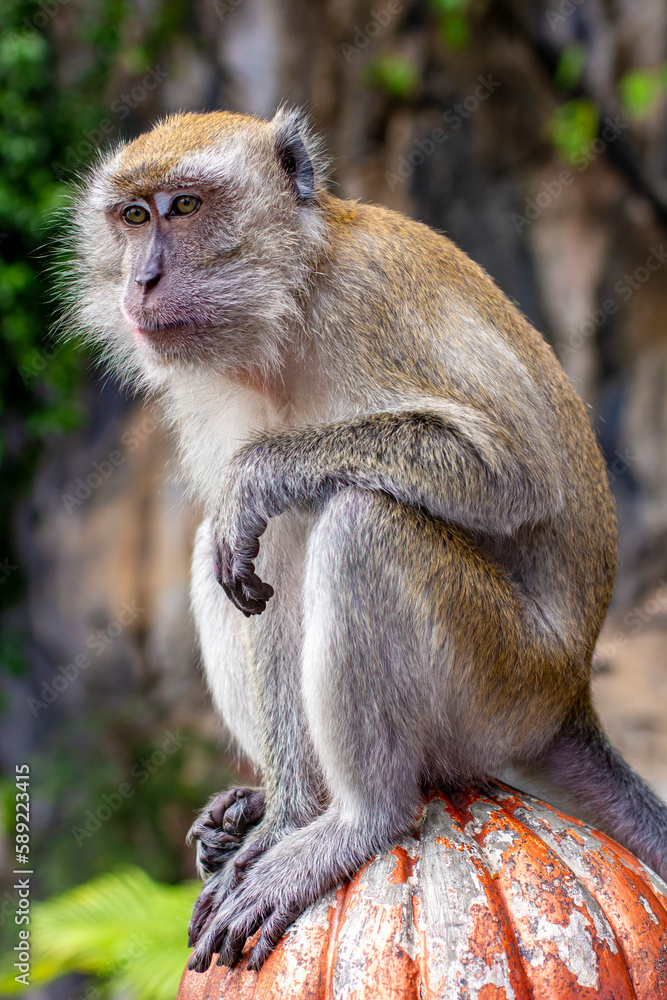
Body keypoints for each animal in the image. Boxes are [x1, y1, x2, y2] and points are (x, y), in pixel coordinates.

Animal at [68, 107, 667, 973]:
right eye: (132, 217)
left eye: (183, 207)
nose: (139, 280)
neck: (292, 301)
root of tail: (570, 696)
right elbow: (251, 556)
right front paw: (284, 818)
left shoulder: (370, 301)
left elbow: (513, 474)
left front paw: (260, 473)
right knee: (243, 542)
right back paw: (281, 808)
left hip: (501, 685)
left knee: (361, 521)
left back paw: (358, 819)